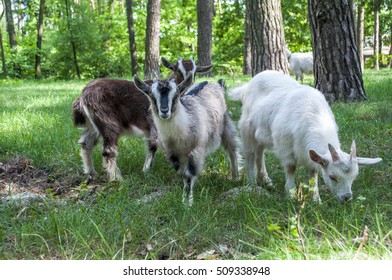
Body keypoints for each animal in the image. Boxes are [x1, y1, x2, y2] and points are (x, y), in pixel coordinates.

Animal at [70, 58, 211, 183]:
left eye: (195, 71)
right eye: (176, 69)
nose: (189, 83)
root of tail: (83, 96)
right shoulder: (154, 122)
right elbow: (153, 144)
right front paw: (145, 171)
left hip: (93, 126)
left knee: (86, 144)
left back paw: (92, 173)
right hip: (107, 121)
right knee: (108, 150)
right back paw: (117, 179)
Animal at [133, 73, 240, 207]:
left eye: (176, 95)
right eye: (152, 95)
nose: (164, 111)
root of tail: (215, 83)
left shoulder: (195, 150)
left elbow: (189, 174)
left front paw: (187, 203)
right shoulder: (173, 153)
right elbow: (181, 172)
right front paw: (183, 191)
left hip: (225, 125)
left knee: (232, 149)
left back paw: (235, 177)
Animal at [230, 70, 382, 203]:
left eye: (354, 177)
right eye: (332, 177)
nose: (346, 198)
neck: (314, 114)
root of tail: (247, 85)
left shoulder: (307, 150)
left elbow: (313, 171)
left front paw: (315, 198)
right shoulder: (284, 142)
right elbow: (291, 167)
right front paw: (290, 194)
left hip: (261, 133)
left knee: (259, 153)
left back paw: (265, 180)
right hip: (246, 128)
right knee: (250, 154)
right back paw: (252, 184)